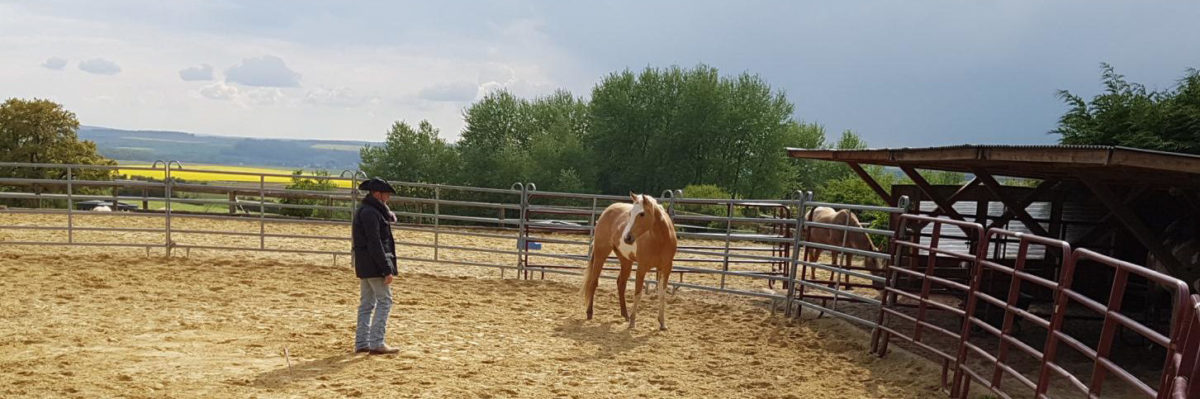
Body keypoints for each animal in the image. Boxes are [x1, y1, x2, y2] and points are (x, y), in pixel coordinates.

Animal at [580, 192, 676, 329]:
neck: (660, 240)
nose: (627, 238)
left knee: (621, 284)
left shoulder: (666, 268)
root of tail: (607, 211)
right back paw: (590, 313)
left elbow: (662, 295)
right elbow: (638, 293)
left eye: (642, 214)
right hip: (601, 254)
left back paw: (625, 314)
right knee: (594, 282)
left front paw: (662, 323)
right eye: (630, 214)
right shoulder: (642, 268)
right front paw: (633, 322)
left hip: (626, 260)